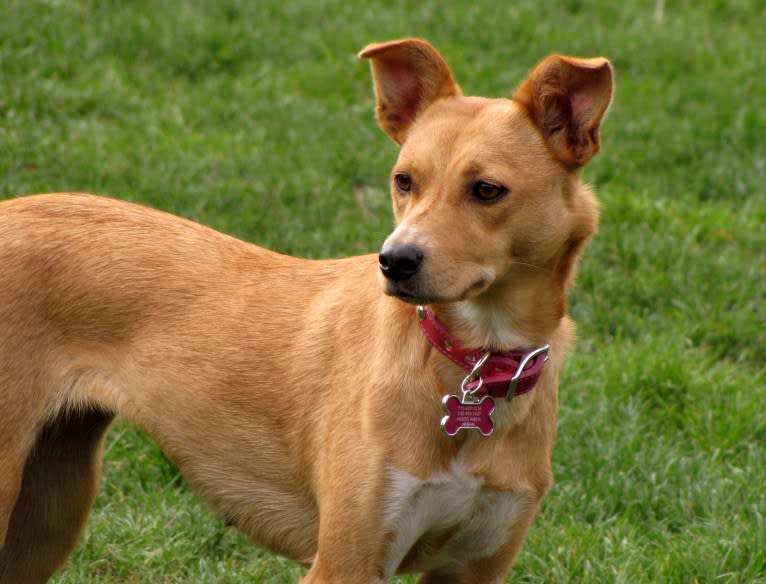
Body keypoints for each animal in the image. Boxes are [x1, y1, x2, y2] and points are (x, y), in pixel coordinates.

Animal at [0, 38, 612, 580]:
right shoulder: (345, 562)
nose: (395, 261)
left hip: (49, 509)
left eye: (487, 190)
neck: (476, 359)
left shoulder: (473, 568)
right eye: (404, 181)